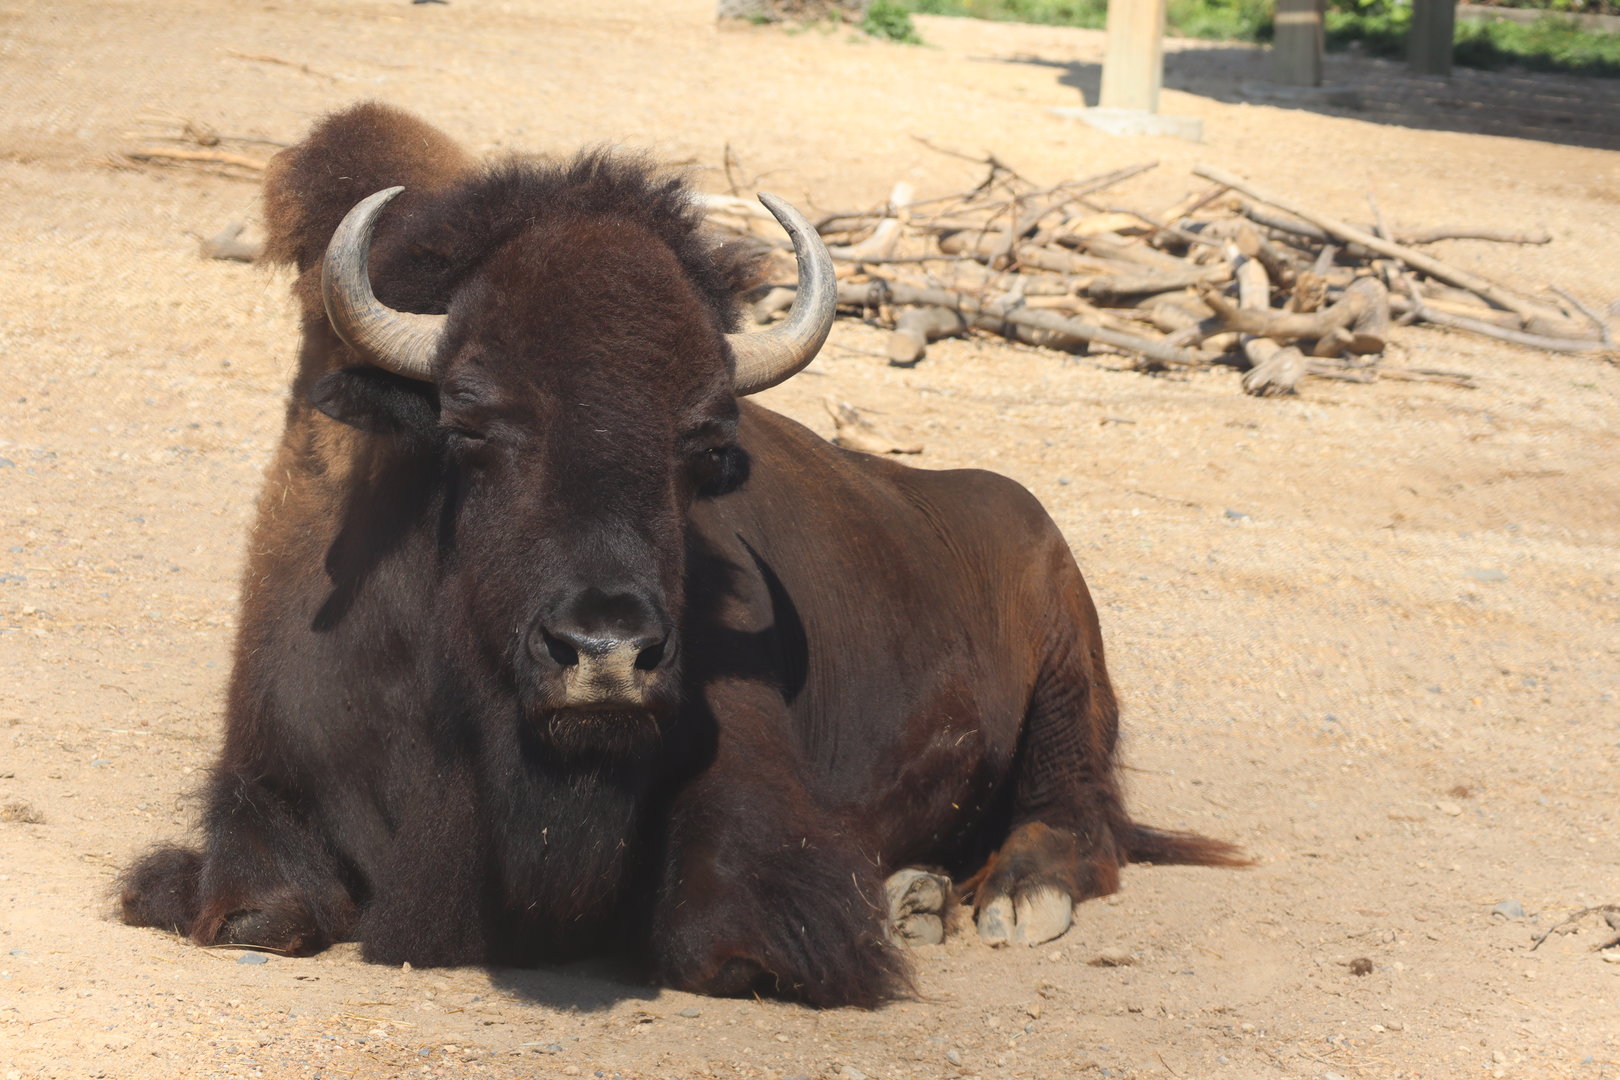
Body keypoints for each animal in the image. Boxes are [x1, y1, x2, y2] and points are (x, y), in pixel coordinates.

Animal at [120, 103, 1242, 1007]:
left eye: (702, 442)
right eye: (469, 419)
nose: (607, 653)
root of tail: (1015, 510)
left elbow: (729, 945)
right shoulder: (264, 792)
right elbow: (255, 910)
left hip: (1068, 678)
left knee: (1077, 818)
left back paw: (1005, 901)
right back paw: (924, 893)